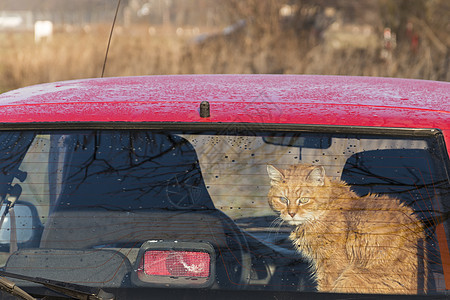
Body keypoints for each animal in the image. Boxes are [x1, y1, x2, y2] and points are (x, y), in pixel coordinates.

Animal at [268, 163, 428, 294]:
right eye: (283, 199)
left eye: (303, 200)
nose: (291, 213)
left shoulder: (331, 266)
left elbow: (325, 288)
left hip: (348, 278)